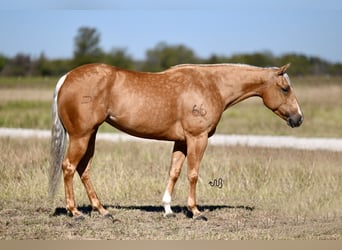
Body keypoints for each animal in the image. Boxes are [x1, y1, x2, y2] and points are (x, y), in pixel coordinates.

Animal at [49, 63, 304, 221]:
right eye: (285, 88)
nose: (298, 118)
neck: (212, 85)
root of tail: (66, 78)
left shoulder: (181, 142)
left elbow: (174, 172)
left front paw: (168, 209)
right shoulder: (197, 138)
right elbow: (193, 174)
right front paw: (196, 211)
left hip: (90, 135)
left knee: (84, 169)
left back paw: (103, 211)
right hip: (81, 136)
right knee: (69, 167)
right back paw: (75, 212)